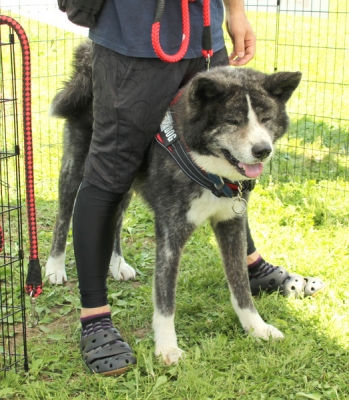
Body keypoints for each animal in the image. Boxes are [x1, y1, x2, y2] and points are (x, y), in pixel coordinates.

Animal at [44, 39, 300, 362]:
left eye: (266, 120)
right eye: (232, 121)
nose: (263, 150)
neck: (208, 170)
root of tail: (88, 59)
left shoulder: (231, 223)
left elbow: (240, 286)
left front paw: (257, 328)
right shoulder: (170, 235)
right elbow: (165, 297)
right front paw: (166, 347)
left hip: (125, 179)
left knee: (115, 219)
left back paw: (117, 264)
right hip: (81, 167)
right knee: (65, 214)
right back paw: (54, 267)